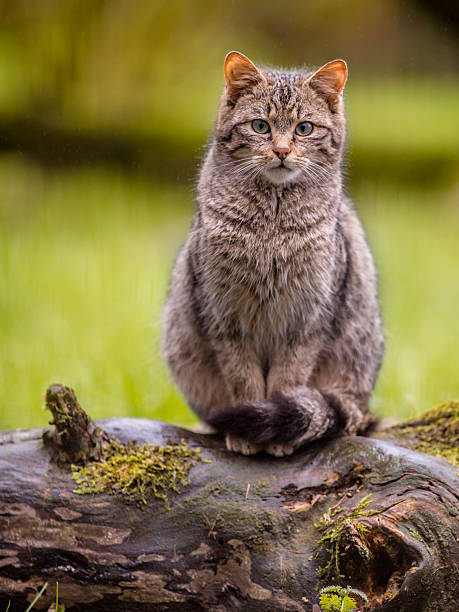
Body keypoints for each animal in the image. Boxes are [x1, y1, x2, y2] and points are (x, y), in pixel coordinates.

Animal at [162, 51, 384, 454]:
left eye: (305, 129)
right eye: (260, 126)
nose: (281, 151)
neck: (272, 228)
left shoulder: (307, 319)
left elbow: (286, 381)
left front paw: (279, 435)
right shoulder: (224, 317)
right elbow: (244, 381)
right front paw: (246, 431)